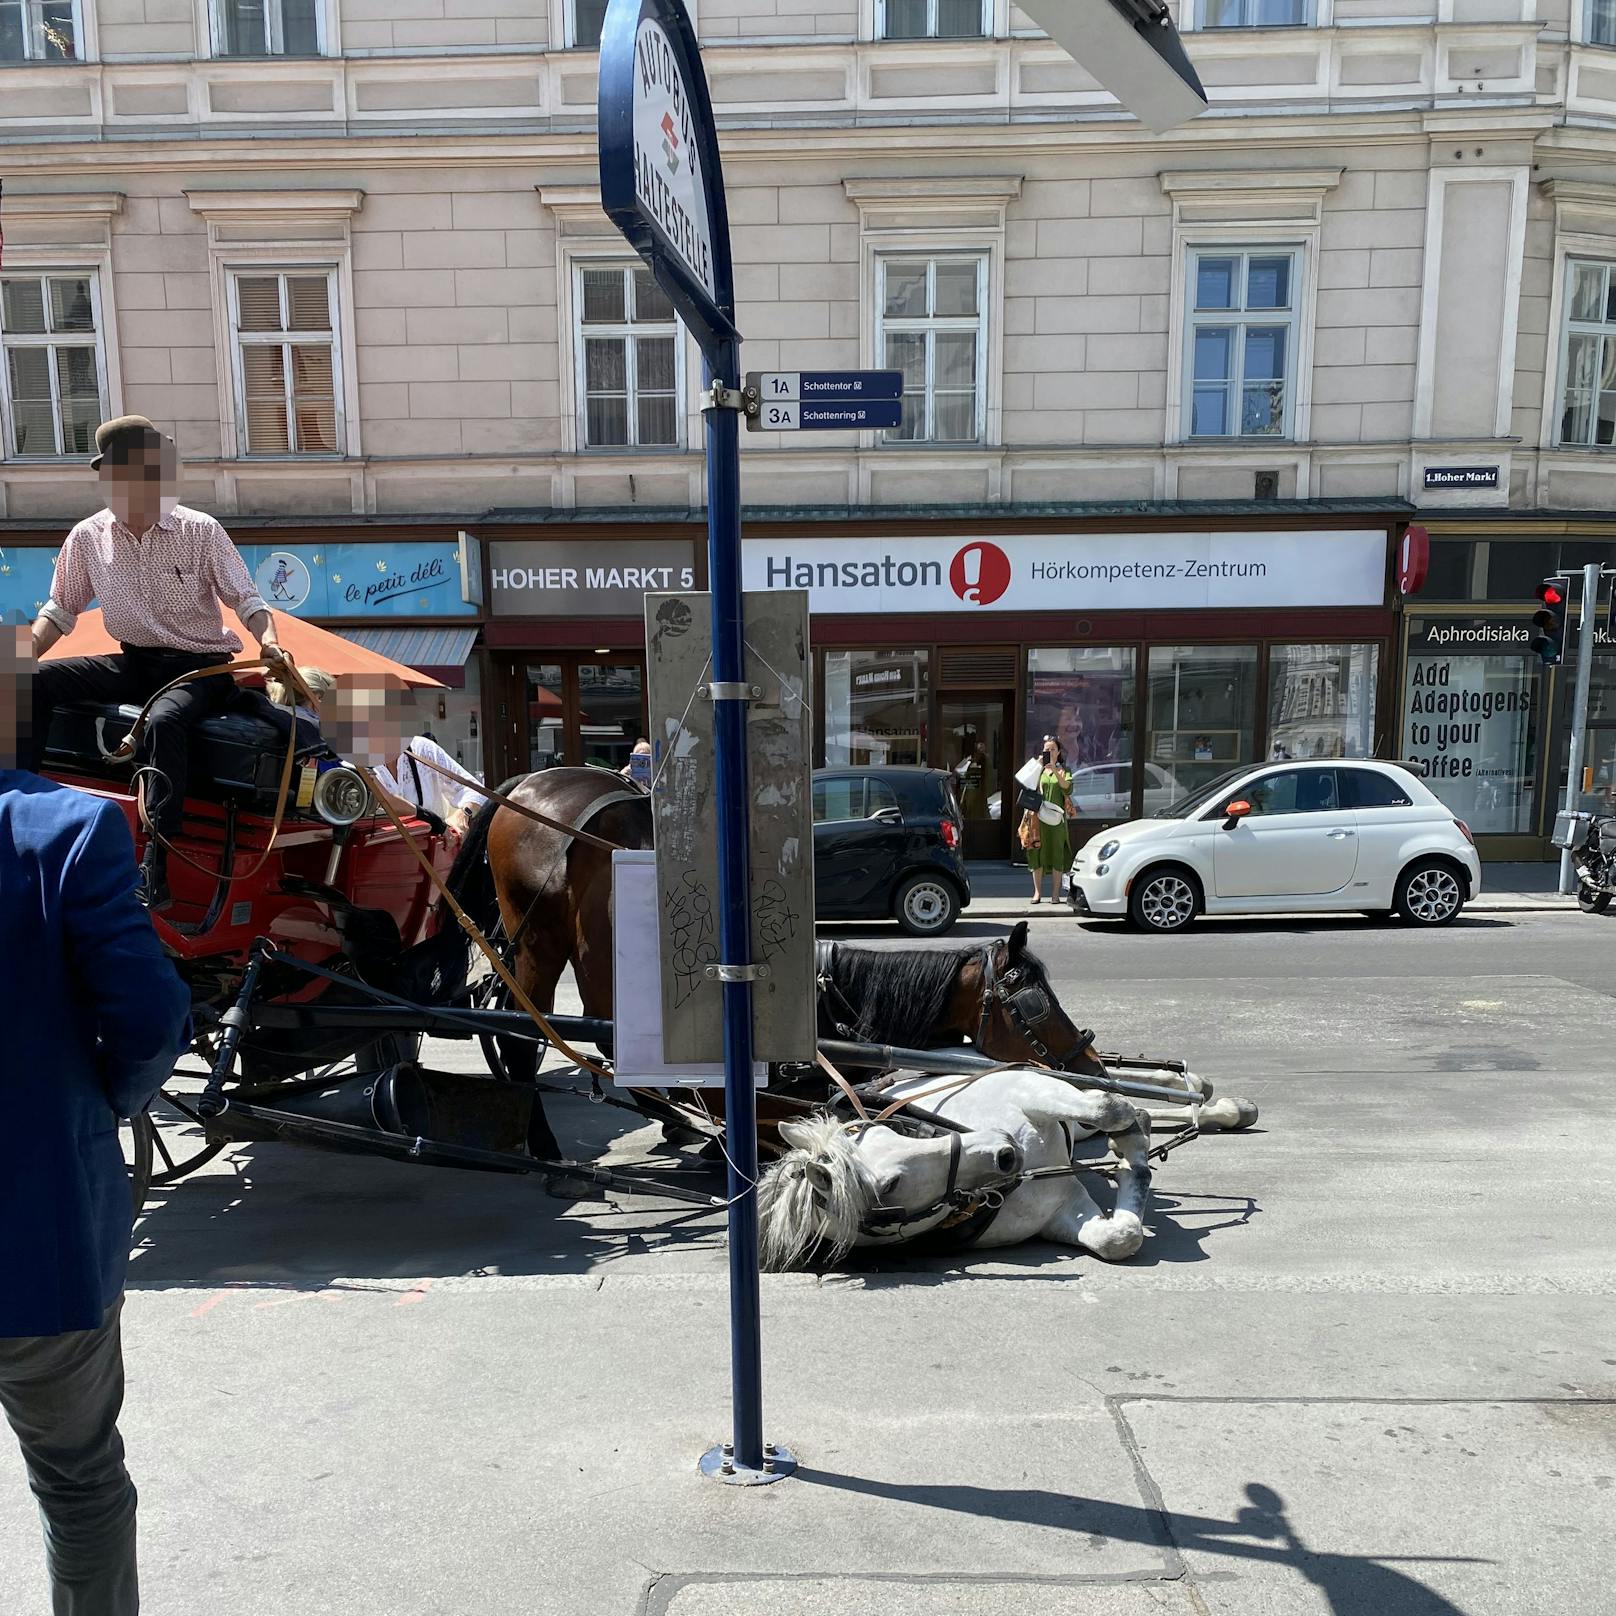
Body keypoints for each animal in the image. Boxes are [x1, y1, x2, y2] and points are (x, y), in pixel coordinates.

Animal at [759, 1073, 1157, 1273]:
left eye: (888, 1130)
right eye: (890, 1185)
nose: (1005, 1151)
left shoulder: (1027, 1087)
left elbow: (1110, 1108)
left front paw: (1132, 1147)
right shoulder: (1059, 1209)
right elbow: (1119, 1238)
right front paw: (1132, 1165)